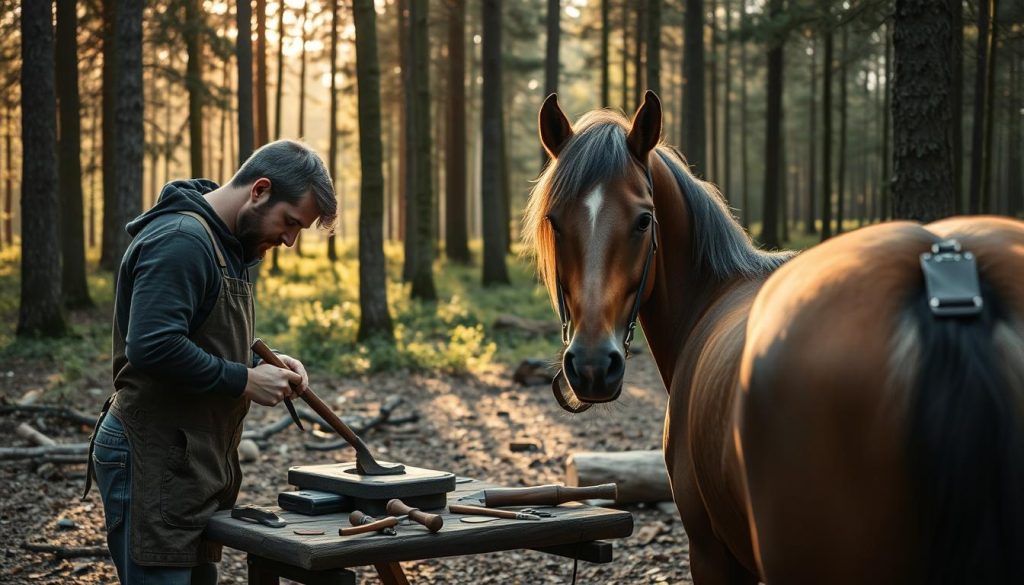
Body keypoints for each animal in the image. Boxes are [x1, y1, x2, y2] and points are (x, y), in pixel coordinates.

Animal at [528, 89, 1024, 581]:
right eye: (555, 220)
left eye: (644, 221)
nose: (593, 365)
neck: (712, 292)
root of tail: (944, 266)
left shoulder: (710, 551)